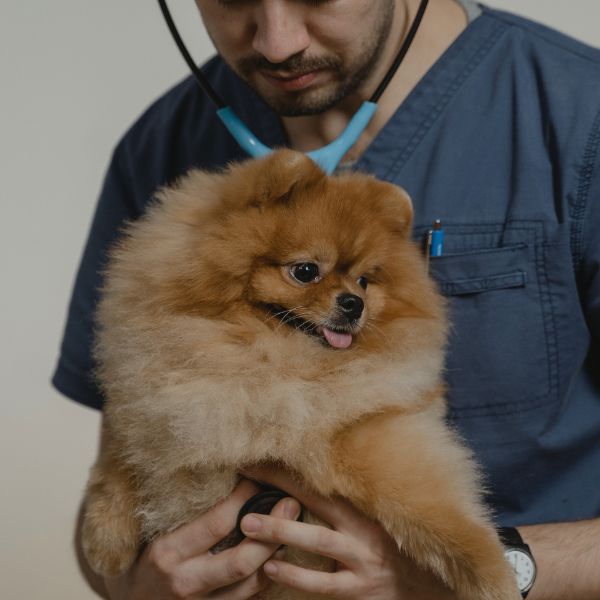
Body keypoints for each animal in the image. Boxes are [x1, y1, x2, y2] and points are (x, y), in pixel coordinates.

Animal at [81, 150, 520, 600]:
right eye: (306, 271)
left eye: (365, 280)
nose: (355, 303)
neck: (271, 363)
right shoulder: (156, 412)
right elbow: (120, 462)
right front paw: (104, 540)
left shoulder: (366, 430)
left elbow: (424, 499)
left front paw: (494, 575)